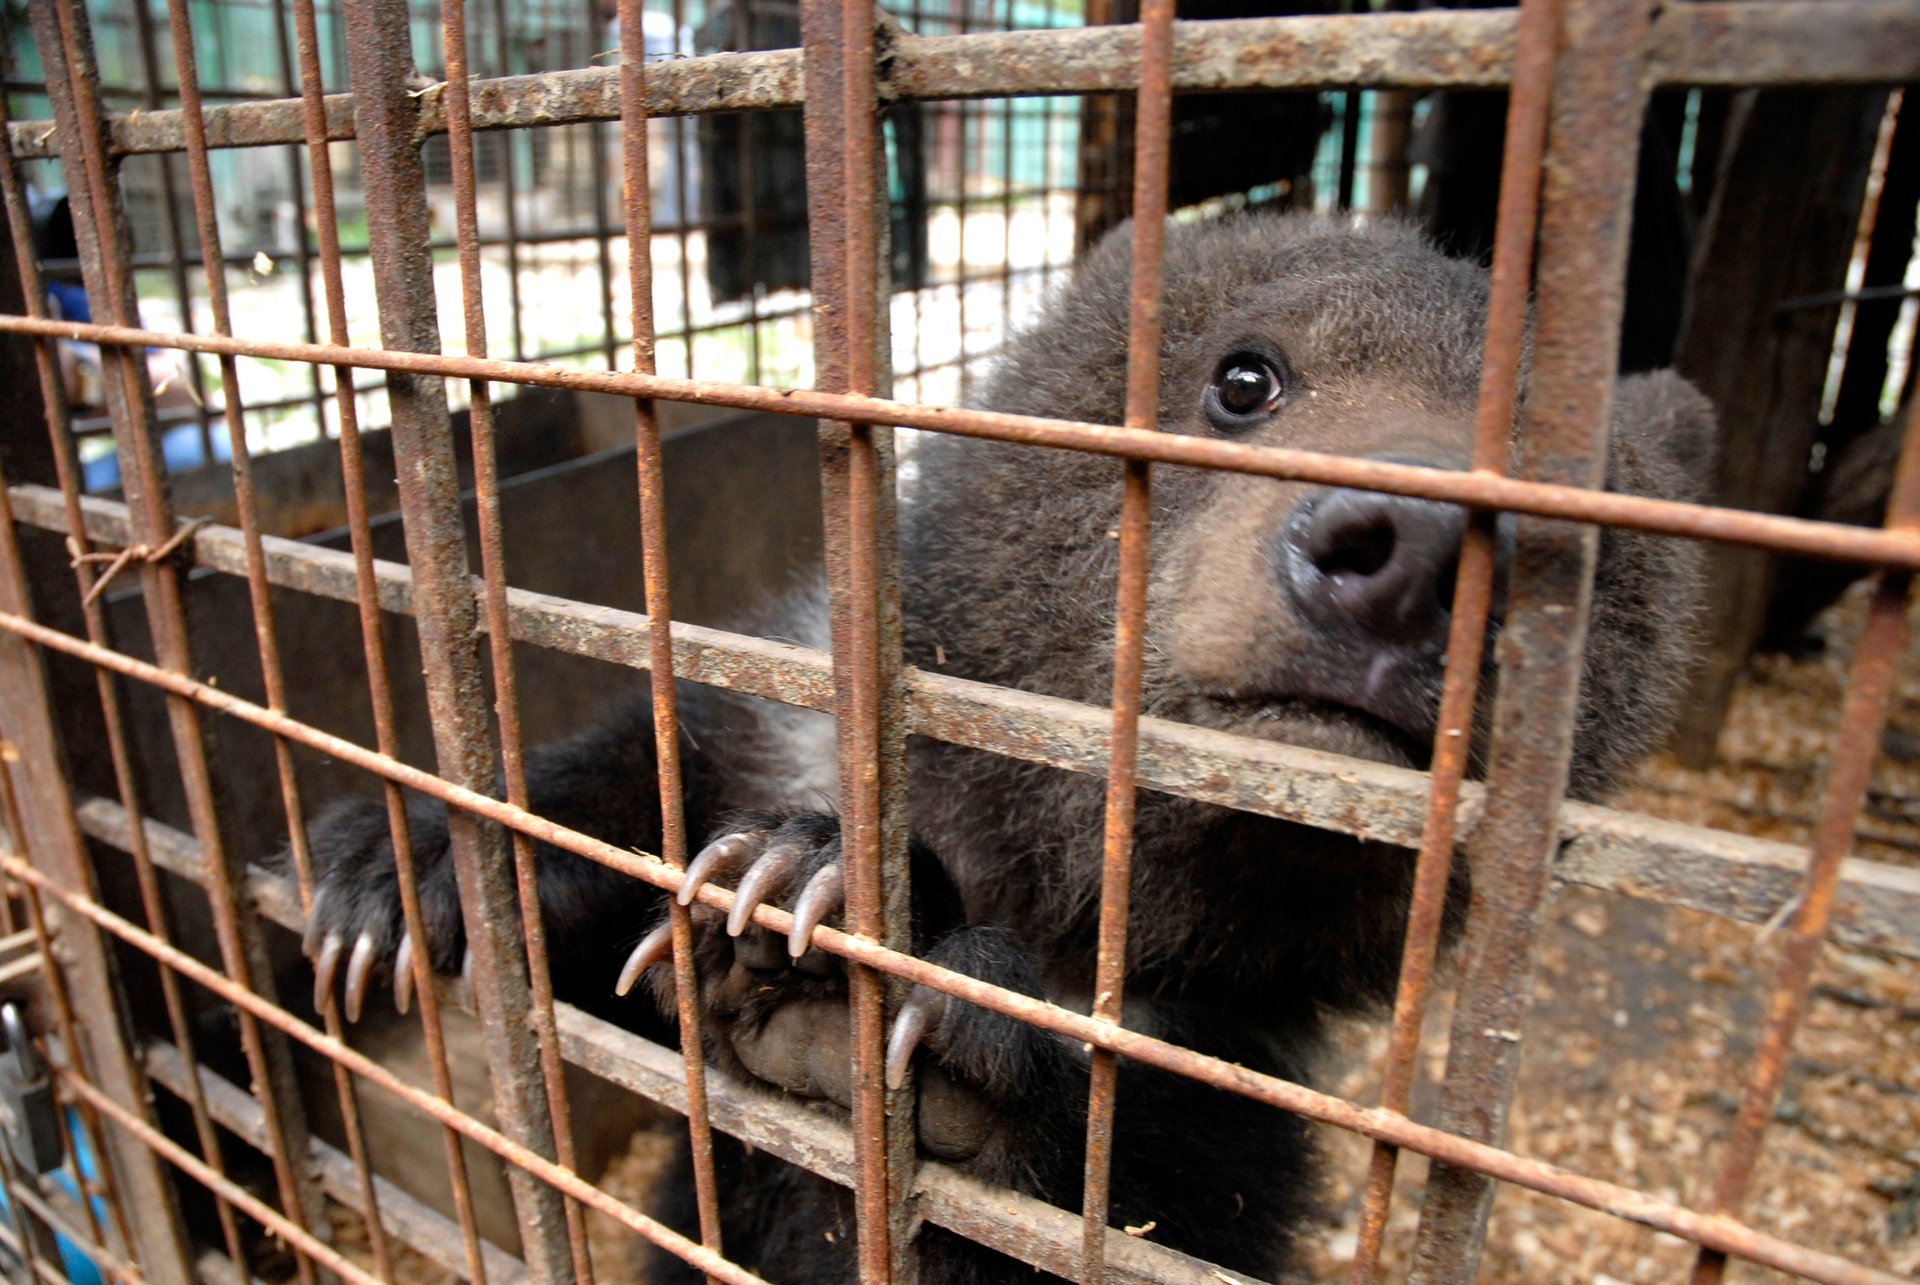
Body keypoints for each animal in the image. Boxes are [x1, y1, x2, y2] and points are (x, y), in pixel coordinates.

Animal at [298, 211, 1713, 1282]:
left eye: (1592, 512)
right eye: (1246, 374)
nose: (1408, 556)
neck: (1047, 860)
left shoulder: (1223, 1046)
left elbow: (1147, 1189)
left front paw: (893, 986)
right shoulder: (785, 728)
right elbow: (629, 839)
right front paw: (410, 869)